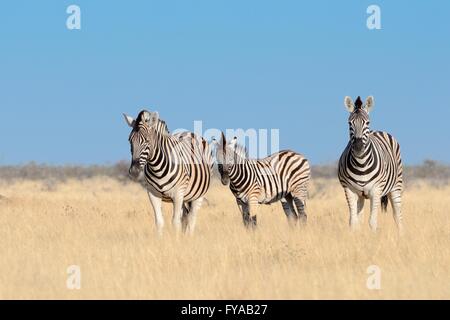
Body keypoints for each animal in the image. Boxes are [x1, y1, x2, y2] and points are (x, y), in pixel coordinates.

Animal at [338, 95, 404, 232]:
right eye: (349, 123)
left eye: (367, 122)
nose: (358, 147)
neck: (361, 165)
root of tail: (378, 131)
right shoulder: (349, 190)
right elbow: (353, 222)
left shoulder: (376, 190)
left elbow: (372, 222)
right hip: (361, 195)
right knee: (359, 217)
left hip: (396, 185)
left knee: (397, 215)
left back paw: (402, 234)